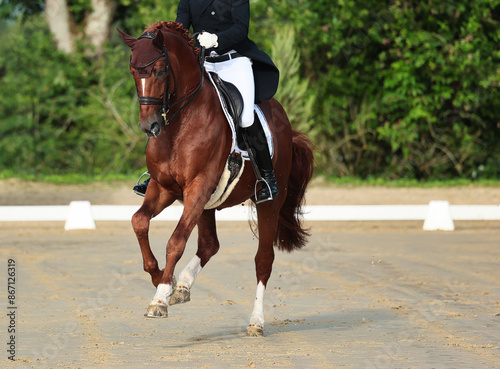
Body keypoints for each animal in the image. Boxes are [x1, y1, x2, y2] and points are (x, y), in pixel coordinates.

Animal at [118, 21, 312, 334]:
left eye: (160, 70)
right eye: (134, 71)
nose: (150, 126)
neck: (180, 122)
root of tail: (283, 120)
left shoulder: (197, 187)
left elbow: (175, 241)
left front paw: (160, 298)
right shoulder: (164, 188)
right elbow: (139, 221)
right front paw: (163, 279)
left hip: (269, 202)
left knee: (263, 259)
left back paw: (256, 321)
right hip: (207, 204)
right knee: (209, 245)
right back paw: (183, 286)